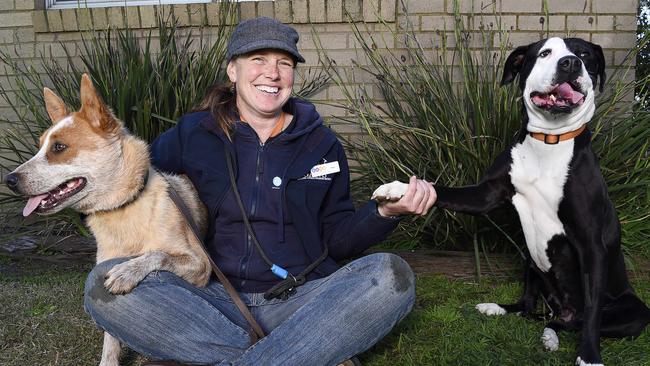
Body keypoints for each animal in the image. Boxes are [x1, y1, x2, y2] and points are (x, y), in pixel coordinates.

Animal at [372, 38, 648, 366]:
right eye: (544, 53)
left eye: (584, 54)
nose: (570, 63)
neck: (549, 142)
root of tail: (564, 310)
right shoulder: (487, 193)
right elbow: (440, 190)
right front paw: (398, 189)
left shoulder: (591, 244)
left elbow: (592, 312)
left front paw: (590, 357)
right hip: (530, 260)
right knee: (531, 309)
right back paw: (502, 310)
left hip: (634, 312)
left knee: (575, 321)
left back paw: (553, 335)